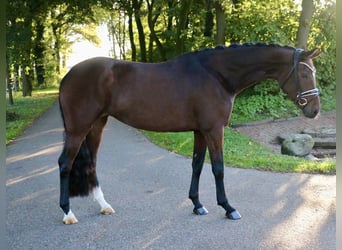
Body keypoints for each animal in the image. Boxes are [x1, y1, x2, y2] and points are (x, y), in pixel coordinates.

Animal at [58, 43, 320, 225]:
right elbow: (218, 168)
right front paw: (228, 208)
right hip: (78, 129)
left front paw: (197, 204)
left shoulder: (200, 131)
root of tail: (68, 75)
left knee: (91, 163)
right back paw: (68, 213)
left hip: (96, 125)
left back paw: (103, 205)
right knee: (65, 164)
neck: (217, 75)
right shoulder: (214, 130)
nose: (315, 110)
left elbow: (197, 165)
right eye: (305, 74)